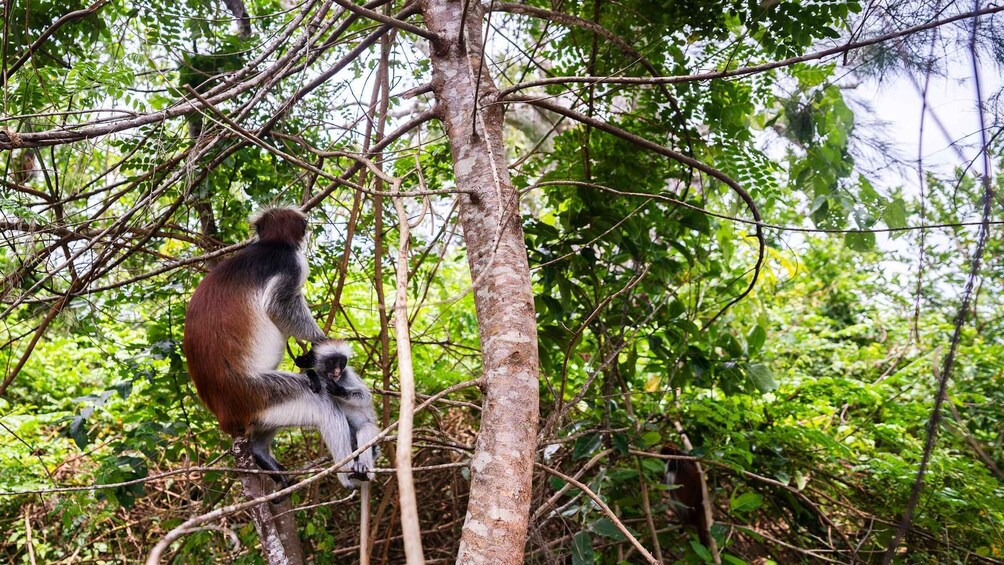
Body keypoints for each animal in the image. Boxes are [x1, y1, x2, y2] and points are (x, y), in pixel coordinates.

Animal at [183, 207, 365, 491]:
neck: (270, 244)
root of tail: (223, 413)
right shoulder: (292, 263)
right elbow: (279, 306)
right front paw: (320, 342)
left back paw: (260, 453)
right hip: (257, 393)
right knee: (322, 401)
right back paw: (347, 475)